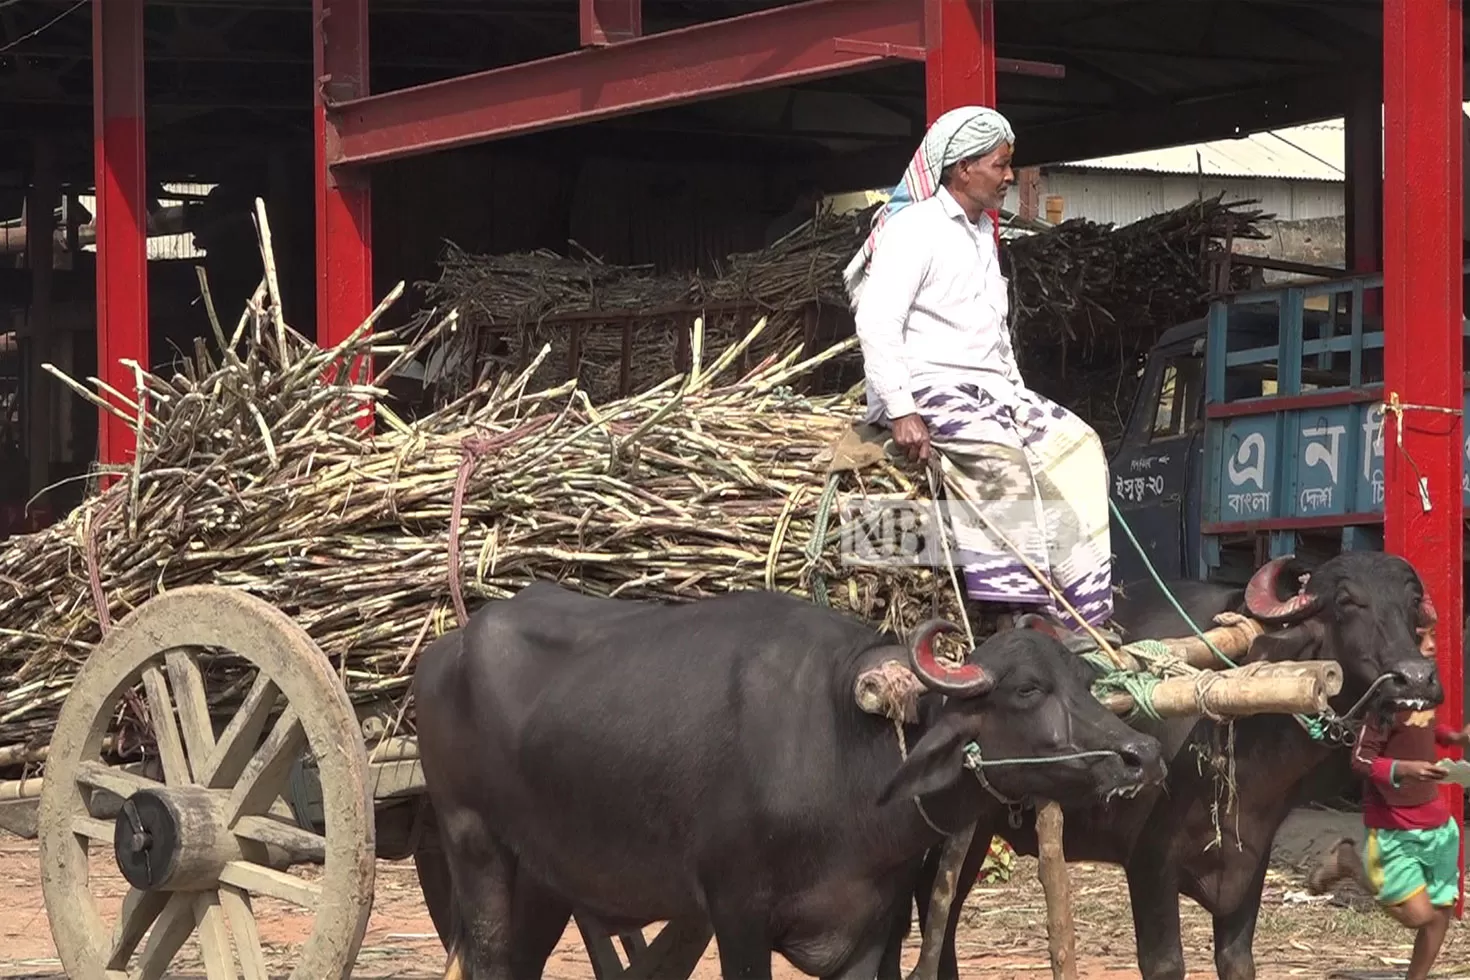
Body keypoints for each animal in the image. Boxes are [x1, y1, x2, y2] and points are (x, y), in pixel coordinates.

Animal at [411, 587, 1158, 975]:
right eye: (1028, 689)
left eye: (1084, 681)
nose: (1142, 755)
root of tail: (444, 651)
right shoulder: (736, 914)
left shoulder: (873, 930)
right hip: (471, 841)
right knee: (491, 957)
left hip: (544, 872)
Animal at [911, 552, 1440, 980]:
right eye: (1347, 601)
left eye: (1413, 601)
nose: (1415, 678)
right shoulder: (1149, 863)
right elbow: (1165, 964)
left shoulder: (1250, 858)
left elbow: (1236, 960)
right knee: (938, 912)